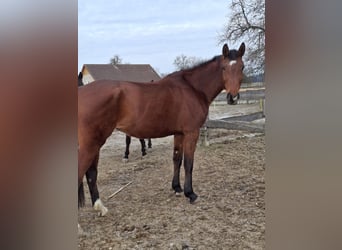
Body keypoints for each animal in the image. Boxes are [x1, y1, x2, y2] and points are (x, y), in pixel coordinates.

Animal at [77, 42, 244, 215]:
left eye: (242, 67)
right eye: (224, 68)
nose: (233, 97)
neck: (193, 88)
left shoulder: (179, 133)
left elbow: (177, 159)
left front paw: (177, 188)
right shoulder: (191, 132)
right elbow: (188, 163)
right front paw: (190, 193)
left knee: (91, 172)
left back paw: (100, 206)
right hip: (91, 144)